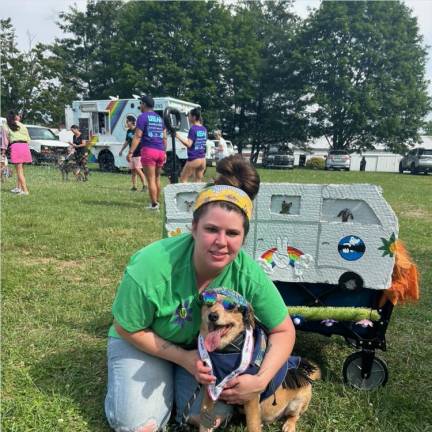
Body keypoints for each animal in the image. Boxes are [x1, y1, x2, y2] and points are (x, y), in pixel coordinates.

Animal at [197, 286, 318, 432]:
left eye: (230, 306)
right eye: (209, 304)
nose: (212, 316)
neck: (227, 351)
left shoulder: (250, 396)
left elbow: (253, 425)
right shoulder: (210, 390)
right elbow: (204, 421)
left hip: (297, 402)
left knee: (295, 416)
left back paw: (289, 425)